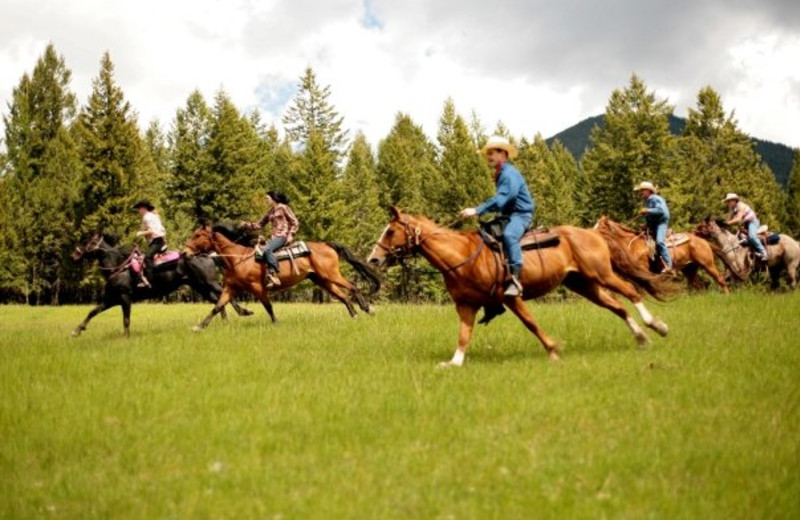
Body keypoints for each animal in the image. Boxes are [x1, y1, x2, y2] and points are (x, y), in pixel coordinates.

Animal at [72, 233, 253, 338]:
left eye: (86, 241)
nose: (74, 255)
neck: (118, 267)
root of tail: (208, 255)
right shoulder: (112, 299)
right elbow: (93, 311)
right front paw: (77, 330)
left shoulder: (125, 298)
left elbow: (126, 320)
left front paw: (126, 337)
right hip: (200, 286)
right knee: (218, 300)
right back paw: (225, 322)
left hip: (209, 282)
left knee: (224, 295)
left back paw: (244, 311)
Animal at [182, 223, 382, 330]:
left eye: (198, 235)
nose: (184, 253)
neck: (238, 258)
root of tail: (326, 244)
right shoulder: (230, 288)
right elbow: (217, 307)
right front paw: (199, 326)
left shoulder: (258, 288)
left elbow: (268, 306)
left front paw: (276, 323)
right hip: (322, 280)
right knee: (344, 296)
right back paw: (355, 315)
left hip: (331, 275)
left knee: (353, 286)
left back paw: (368, 309)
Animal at [368, 205, 676, 368]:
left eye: (391, 231)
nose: (373, 258)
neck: (462, 255)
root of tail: (592, 232)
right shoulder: (466, 305)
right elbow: (464, 334)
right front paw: (454, 363)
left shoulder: (510, 298)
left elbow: (531, 323)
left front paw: (552, 350)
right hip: (584, 285)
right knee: (617, 306)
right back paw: (641, 338)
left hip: (601, 274)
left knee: (630, 292)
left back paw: (658, 326)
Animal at [592, 216, 732, 294]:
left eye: (600, 226)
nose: (590, 233)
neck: (632, 243)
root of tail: (703, 241)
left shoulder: (643, 270)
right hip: (690, 269)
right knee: (699, 285)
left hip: (707, 264)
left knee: (720, 279)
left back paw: (727, 294)